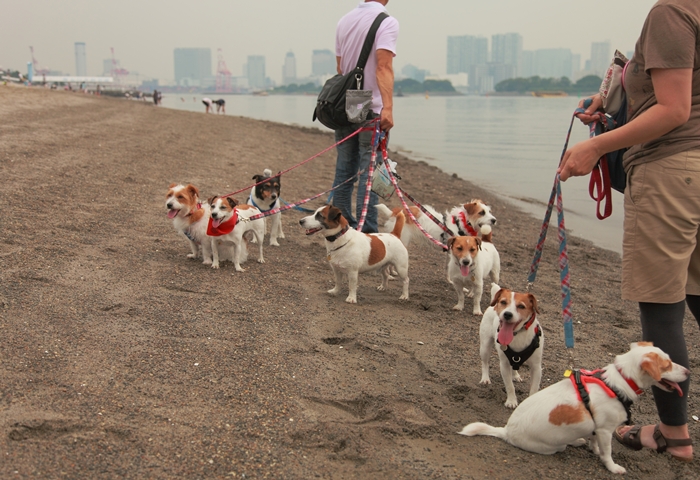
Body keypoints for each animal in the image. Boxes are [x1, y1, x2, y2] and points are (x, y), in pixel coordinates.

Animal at [460, 344, 688, 474]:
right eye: (667, 365)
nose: (688, 371)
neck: (621, 381)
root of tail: (506, 431)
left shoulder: (597, 427)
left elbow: (595, 442)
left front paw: (594, 449)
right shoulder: (606, 430)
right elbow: (608, 453)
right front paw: (612, 467)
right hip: (553, 446)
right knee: (561, 446)